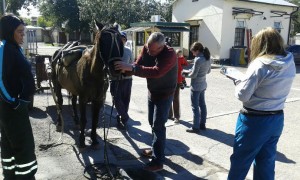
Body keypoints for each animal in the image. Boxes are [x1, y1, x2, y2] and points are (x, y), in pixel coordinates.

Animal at [51, 21, 123, 149]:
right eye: (103, 40)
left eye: (120, 40)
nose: (116, 68)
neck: (93, 73)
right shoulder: (83, 99)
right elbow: (85, 120)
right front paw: (82, 140)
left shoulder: (98, 100)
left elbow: (94, 120)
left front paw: (94, 139)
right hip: (57, 86)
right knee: (59, 102)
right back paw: (59, 123)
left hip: (73, 90)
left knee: (73, 102)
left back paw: (75, 120)